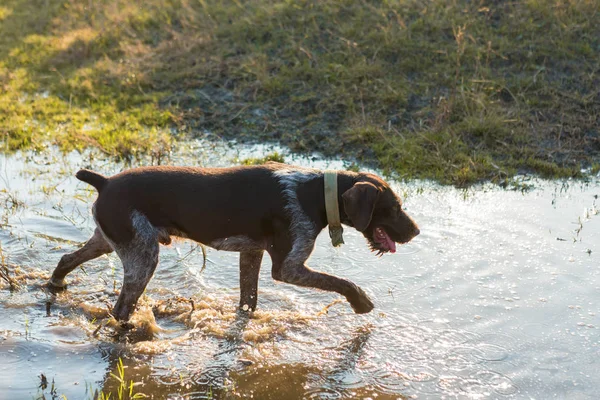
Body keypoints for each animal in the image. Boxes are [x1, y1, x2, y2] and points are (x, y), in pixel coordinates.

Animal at [49, 162, 420, 322]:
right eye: (394, 208)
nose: (416, 231)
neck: (313, 193)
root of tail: (105, 181)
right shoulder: (289, 268)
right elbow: (341, 282)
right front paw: (360, 301)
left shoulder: (252, 253)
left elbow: (248, 300)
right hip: (142, 257)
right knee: (121, 308)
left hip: (109, 240)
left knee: (67, 259)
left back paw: (54, 286)